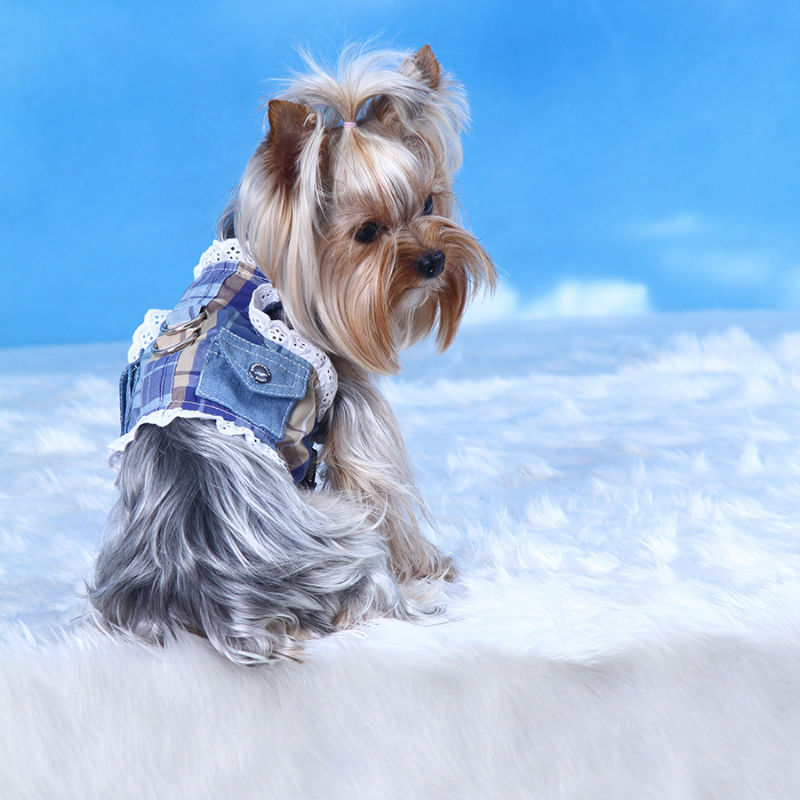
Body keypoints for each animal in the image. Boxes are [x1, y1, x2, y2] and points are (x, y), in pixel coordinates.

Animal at [90, 45, 495, 665]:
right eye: (367, 232)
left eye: (429, 201)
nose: (434, 262)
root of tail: (214, 597)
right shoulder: (352, 408)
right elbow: (382, 486)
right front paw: (429, 564)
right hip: (339, 527)